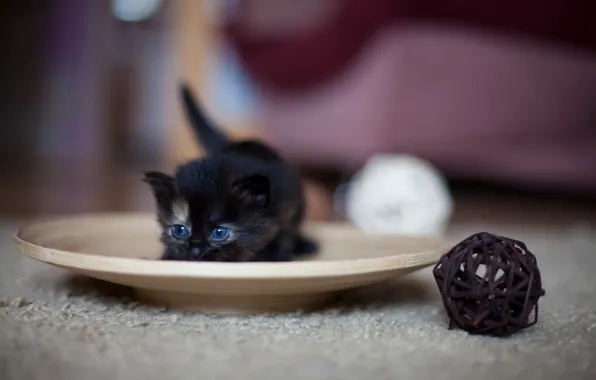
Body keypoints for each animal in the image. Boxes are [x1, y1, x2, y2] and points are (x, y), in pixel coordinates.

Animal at [143, 83, 318, 262]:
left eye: (219, 233)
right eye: (180, 230)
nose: (195, 250)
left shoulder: (285, 209)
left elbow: (285, 236)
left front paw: (280, 258)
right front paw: (164, 258)